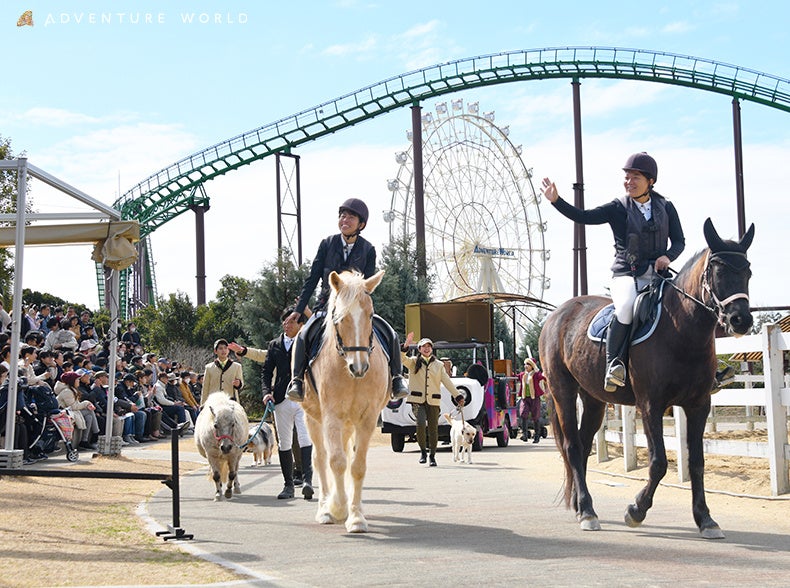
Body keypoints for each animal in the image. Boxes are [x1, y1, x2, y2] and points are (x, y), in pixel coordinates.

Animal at [302, 270, 392, 532]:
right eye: (340, 318)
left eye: (370, 315)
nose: (359, 367)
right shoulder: (331, 416)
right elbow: (336, 461)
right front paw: (338, 508)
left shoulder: (368, 418)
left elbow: (357, 466)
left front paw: (356, 517)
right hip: (313, 417)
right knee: (320, 458)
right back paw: (325, 508)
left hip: (349, 422)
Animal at [540, 218, 756, 540]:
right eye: (718, 272)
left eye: (747, 272)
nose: (741, 320)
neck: (681, 329)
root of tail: (558, 314)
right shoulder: (650, 405)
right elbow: (658, 463)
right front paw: (636, 510)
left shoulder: (698, 406)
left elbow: (697, 462)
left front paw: (705, 518)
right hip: (562, 390)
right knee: (573, 446)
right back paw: (588, 511)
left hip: (594, 400)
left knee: (583, 443)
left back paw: (582, 506)